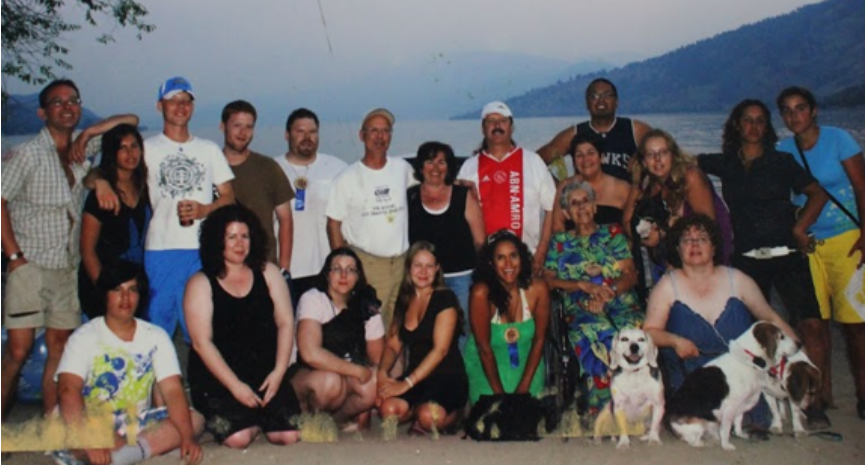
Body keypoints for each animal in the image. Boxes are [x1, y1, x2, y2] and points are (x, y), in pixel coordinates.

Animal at [664, 320, 800, 448]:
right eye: (781, 336)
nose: (799, 343)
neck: (750, 360)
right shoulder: (729, 407)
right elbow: (726, 429)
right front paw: (726, 446)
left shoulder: (741, 405)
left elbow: (738, 423)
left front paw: (740, 434)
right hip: (698, 425)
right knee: (693, 440)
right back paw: (704, 443)